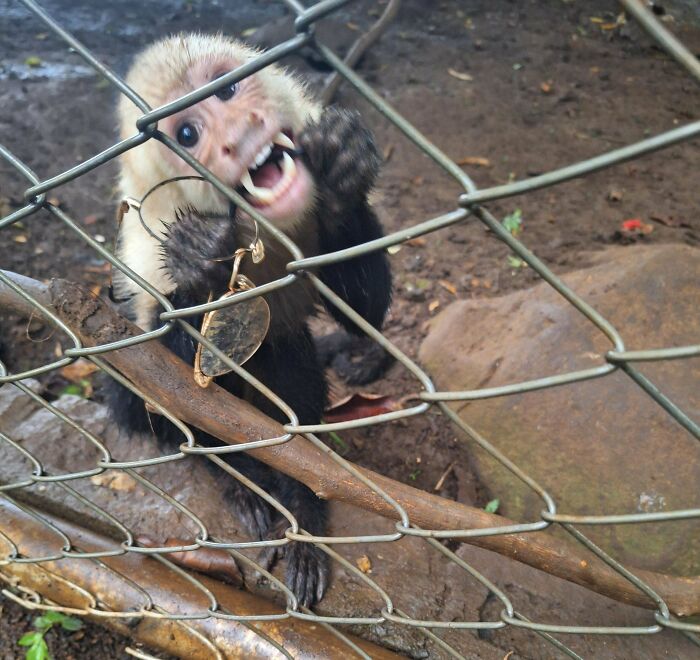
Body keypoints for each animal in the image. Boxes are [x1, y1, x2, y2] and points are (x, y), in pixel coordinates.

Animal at [109, 33, 391, 607]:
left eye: (228, 90)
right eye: (188, 134)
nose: (238, 135)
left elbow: (365, 314)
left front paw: (343, 170)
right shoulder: (150, 248)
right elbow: (163, 374)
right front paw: (197, 259)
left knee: (287, 354)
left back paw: (301, 505)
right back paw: (237, 479)